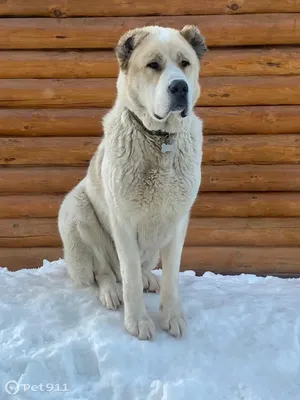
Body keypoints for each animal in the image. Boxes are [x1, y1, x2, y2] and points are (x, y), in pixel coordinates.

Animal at [59, 23, 209, 340]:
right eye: (153, 65)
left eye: (185, 63)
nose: (180, 87)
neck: (159, 139)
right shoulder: (123, 222)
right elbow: (129, 281)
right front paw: (137, 321)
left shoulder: (177, 221)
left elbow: (171, 277)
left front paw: (172, 316)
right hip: (77, 210)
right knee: (105, 271)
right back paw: (111, 292)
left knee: (139, 268)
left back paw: (148, 278)